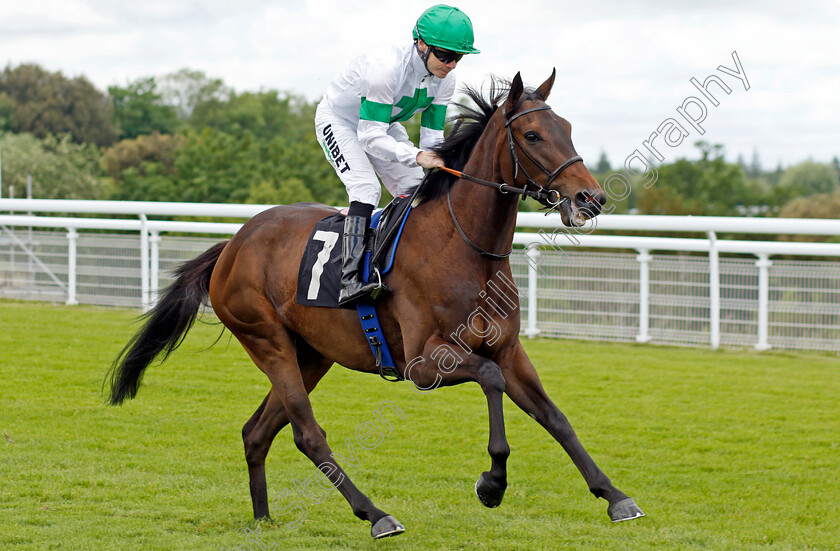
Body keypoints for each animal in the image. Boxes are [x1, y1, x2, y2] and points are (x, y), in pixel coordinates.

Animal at [105, 70, 644, 540]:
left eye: (567, 129)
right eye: (532, 135)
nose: (591, 198)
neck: (464, 249)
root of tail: (234, 244)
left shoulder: (509, 350)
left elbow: (554, 416)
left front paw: (615, 496)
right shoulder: (424, 364)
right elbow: (490, 381)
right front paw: (491, 484)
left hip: (312, 354)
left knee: (257, 431)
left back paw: (263, 518)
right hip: (267, 341)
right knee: (307, 433)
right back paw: (376, 514)